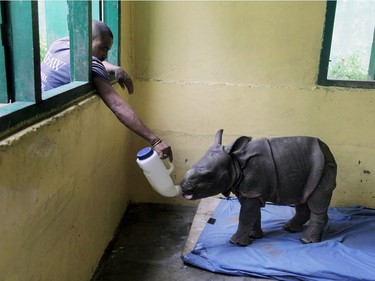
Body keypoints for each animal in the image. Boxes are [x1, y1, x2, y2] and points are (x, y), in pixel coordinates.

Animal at [180, 129, 338, 245]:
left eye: (210, 176)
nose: (184, 188)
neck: (235, 161)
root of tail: (327, 149)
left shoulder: (253, 191)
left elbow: (245, 216)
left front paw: (236, 243)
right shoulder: (250, 192)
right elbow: (253, 214)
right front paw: (254, 236)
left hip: (324, 166)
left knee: (317, 200)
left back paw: (306, 240)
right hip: (306, 169)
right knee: (302, 196)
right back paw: (290, 229)